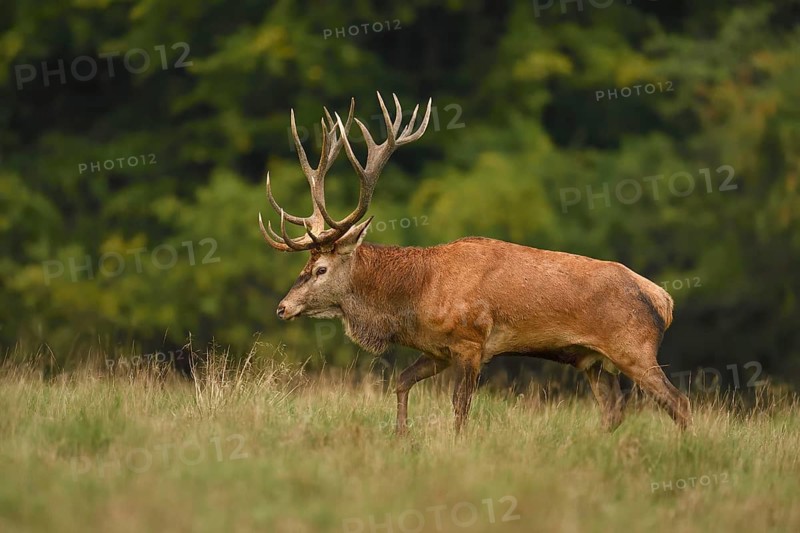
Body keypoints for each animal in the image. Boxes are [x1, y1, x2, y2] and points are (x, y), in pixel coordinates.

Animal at [259, 93, 692, 435]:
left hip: (632, 347)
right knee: (613, 410)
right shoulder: (437, 350)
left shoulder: (471, 341)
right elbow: (401, 382)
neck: (417, 295)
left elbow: (460, 405)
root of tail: (664, 300)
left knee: (678, 402)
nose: (282, 307)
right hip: (594, 361)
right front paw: (402, 436)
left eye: (320, 269)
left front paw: (455, 444)